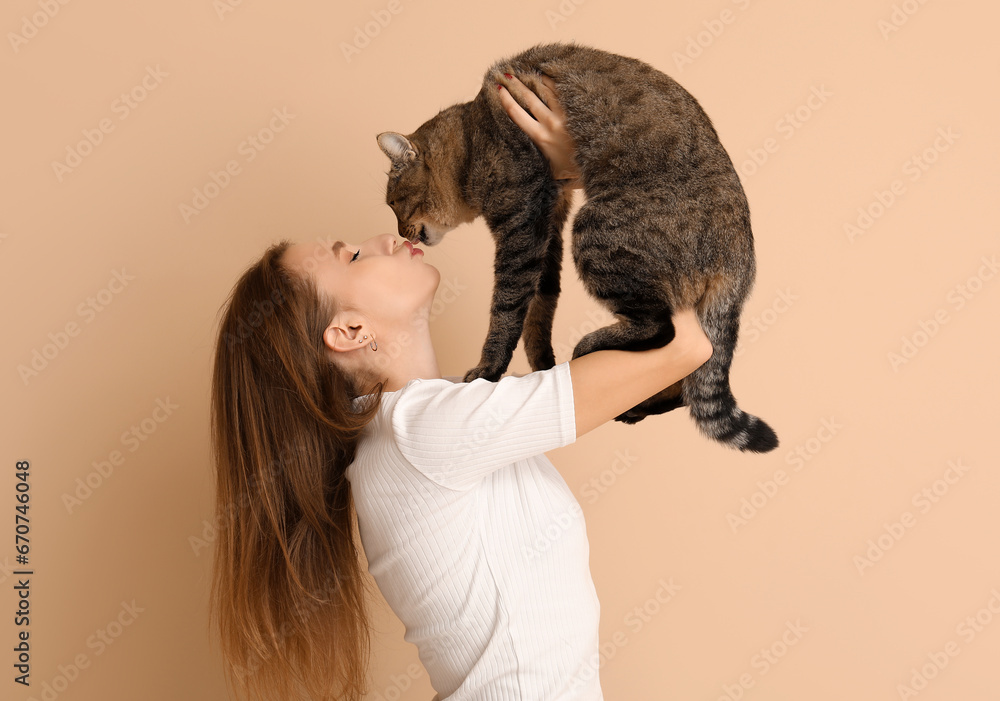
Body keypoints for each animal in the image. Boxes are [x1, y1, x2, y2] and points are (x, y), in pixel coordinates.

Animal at [378, 41, 776, 454]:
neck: (470, 140)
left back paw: (592, 344)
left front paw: (489, 370)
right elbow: (538, 306)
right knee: (687, 377)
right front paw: (543, 367)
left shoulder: (523, 221)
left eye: (392, 203)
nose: (400, 234)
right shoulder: (548, 220)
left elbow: (507, 308)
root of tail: (739, 260)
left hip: (596, 229)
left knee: (663, 330)